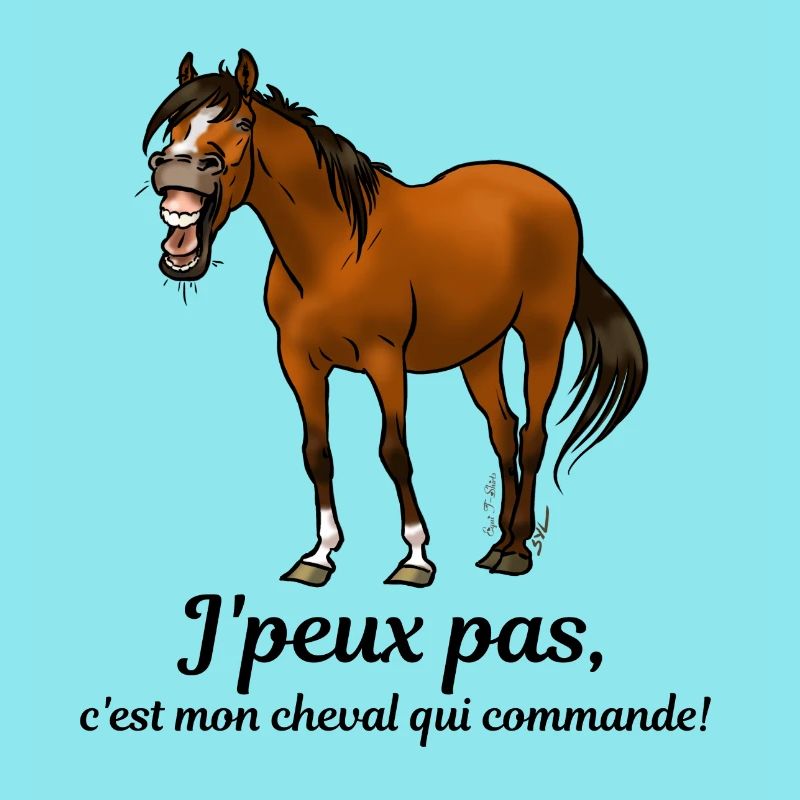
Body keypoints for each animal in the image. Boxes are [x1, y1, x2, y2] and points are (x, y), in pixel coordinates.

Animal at [143, 49, 648, 588]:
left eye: (241, 122)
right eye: (175, 125)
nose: (176, 167)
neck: (335, 251)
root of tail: (551, 193)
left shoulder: (384, 359)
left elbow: (394, 453)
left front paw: (416, 558)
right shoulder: (300, 363)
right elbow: (317, 453)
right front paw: (319, 556)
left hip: (542, 332)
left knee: (532, 433)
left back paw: (516, 552)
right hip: (481, 349)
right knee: (503, 428)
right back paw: (499, 544)